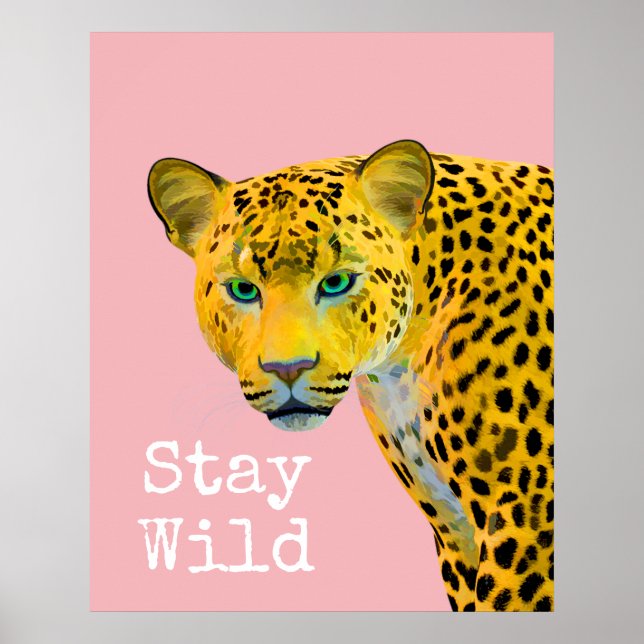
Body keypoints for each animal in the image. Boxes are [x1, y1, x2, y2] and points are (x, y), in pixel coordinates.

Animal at [147, 140, 554, 611]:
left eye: (337, 282)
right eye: (243, 290)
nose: (288, 368)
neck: (399, 369)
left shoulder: (526, 513)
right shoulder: (455, 529)